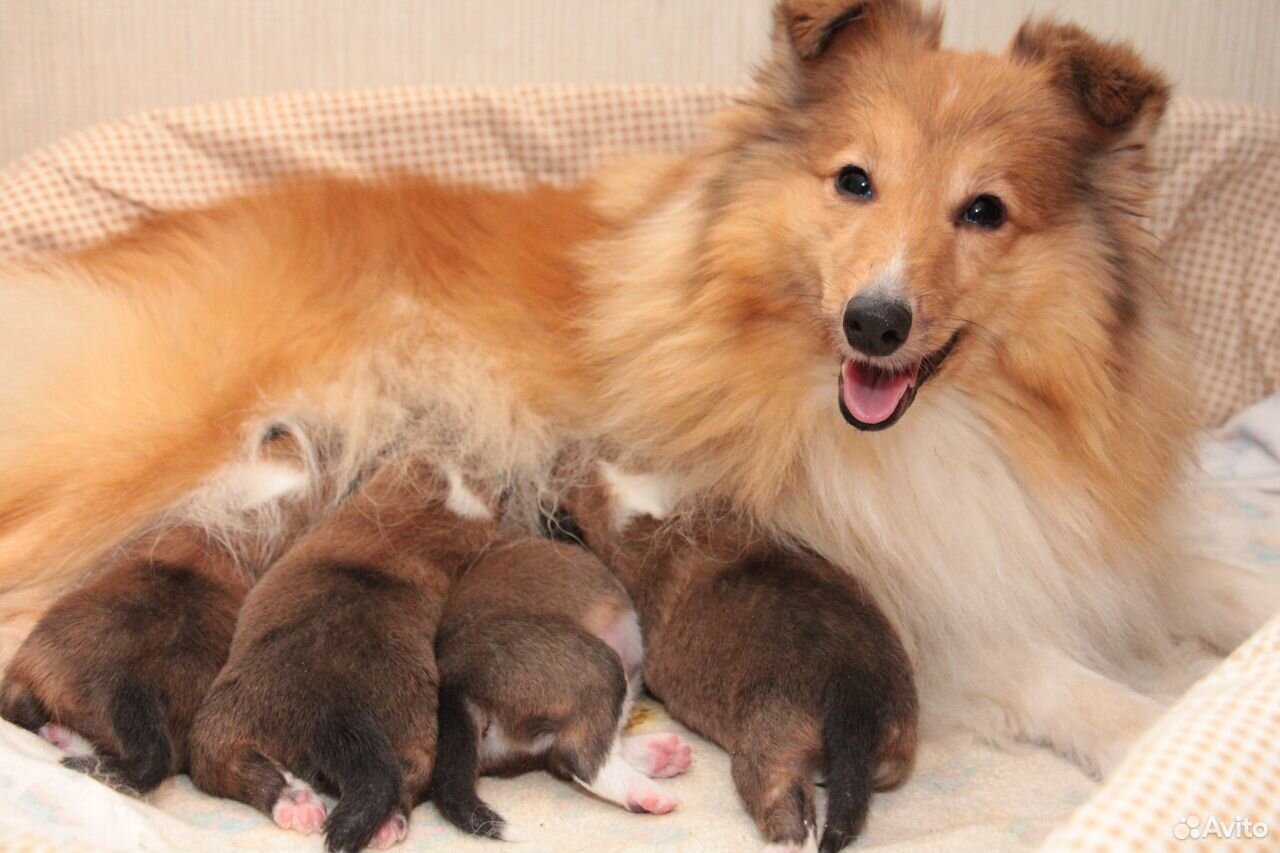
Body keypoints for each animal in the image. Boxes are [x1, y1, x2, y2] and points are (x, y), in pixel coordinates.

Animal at [2, 0, 1280, 799]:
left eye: (984, 211)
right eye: (853, 182)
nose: (872, 322)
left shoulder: (1075, 529)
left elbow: (1198, 573)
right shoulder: (896, 580)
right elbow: (1049, 672)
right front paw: (1152, 729)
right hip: (139, 460)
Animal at [186, 458, 496, 850]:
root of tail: (334, 713)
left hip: (216, 731)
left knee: (233, 769)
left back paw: (297, 803)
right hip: (411, 740)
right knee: (400, 779)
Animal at [430, 527, 691, 840]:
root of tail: (455, 681)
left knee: (566, 751)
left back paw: (660, 755)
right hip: (602, 667)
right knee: (580, 756)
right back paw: (646, 789)